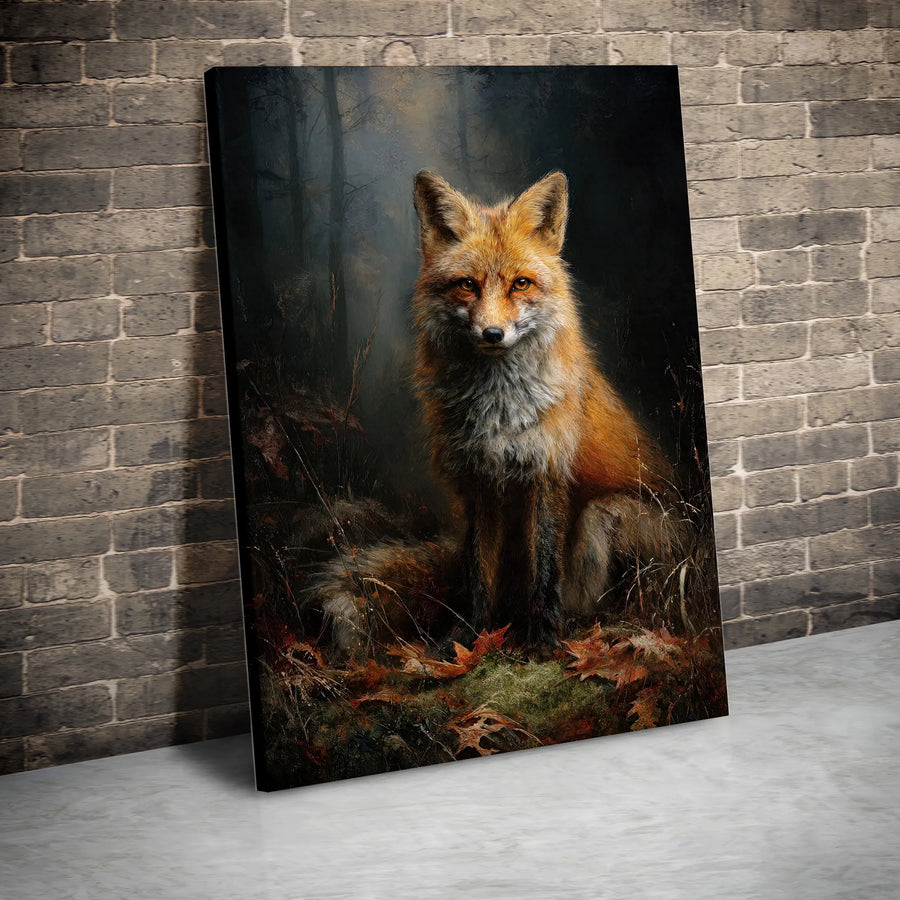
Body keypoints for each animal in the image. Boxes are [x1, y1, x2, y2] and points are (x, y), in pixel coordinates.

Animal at [310, 171, 688, 660]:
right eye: (467, 285)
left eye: (520, 284)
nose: (493, 333)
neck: (499, 410)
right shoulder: (479, 485)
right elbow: (477, 576)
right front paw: (465, 640)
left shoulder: (547, 477)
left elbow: (545, 576)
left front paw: (543, 641)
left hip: (606, 516)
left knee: (588, 590)